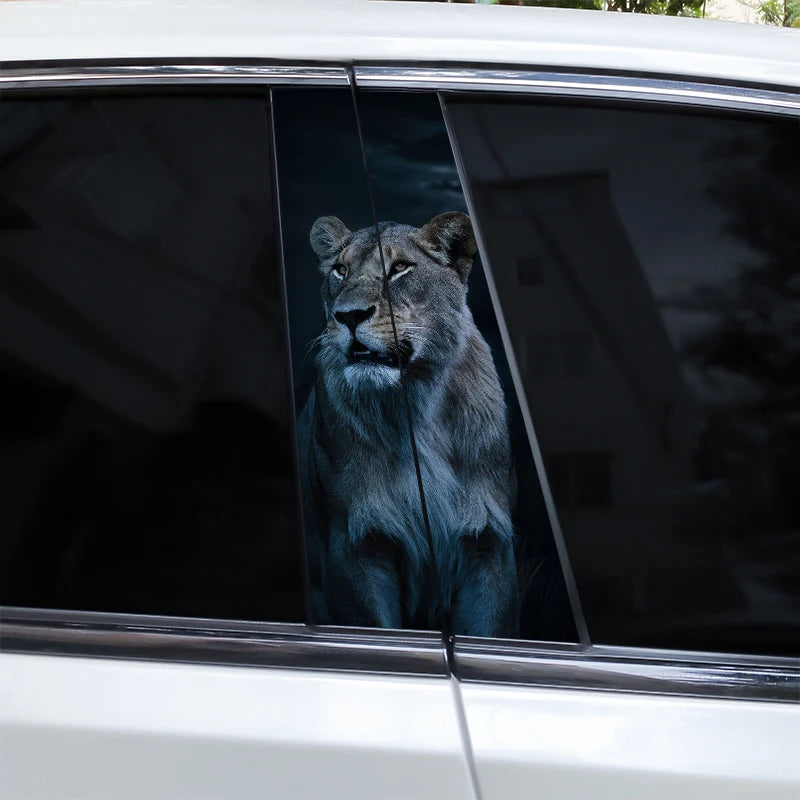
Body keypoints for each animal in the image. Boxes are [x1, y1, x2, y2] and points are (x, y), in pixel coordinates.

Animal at [297, 211, 519, 638]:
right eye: (340, 270)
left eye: (399, 268)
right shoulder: (352, 548)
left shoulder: (489, 543)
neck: (415, 403)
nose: (348, 316)